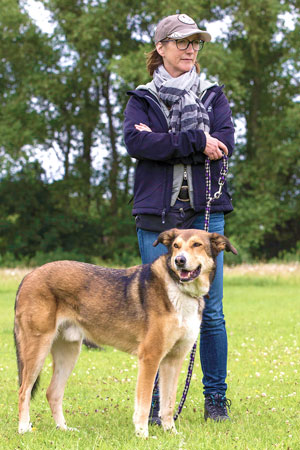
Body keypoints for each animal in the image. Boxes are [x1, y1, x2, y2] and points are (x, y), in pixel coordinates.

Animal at [14, 229, 237, 436]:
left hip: (68, 351)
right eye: (176, 246)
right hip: (38, 348)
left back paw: (64, 429)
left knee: (52, 392)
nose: (179, 260)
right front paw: (143, 434)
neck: (178, 290)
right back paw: (24, 428)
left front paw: (170, 433)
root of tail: (28, 276)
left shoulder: (173, 359)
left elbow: (168, 403)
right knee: (24, 390)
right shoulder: (150, 357)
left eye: (197, 244)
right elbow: (144, 403)